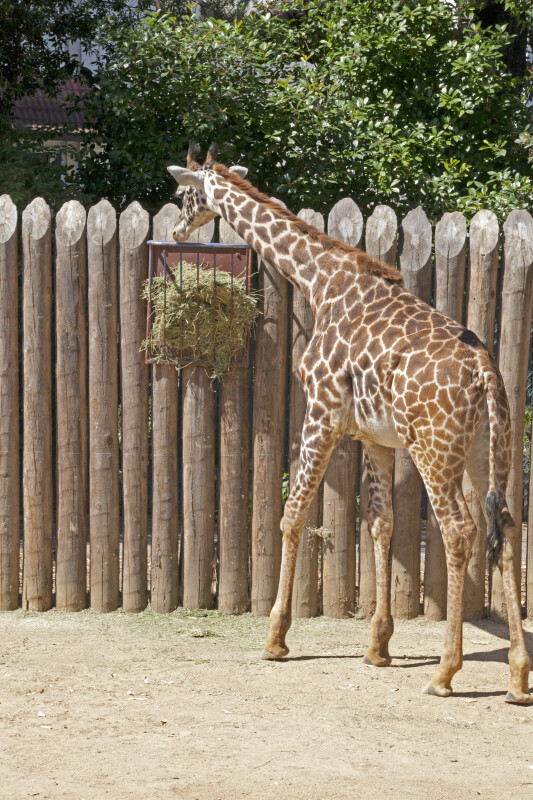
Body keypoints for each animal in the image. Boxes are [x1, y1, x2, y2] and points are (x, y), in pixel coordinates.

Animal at [168, 142, 528, 700]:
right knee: (505, 527)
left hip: (435, 448)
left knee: (459, 530)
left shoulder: (321, 414)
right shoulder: (377, 437)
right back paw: (517, 676)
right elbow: (380, 523)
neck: (319, 281)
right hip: (487, 446)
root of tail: (486, 373)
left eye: (183, 193)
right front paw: (378, 646)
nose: (178, 227)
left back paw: (445, 673)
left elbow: (292, 514)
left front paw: (276, 638)